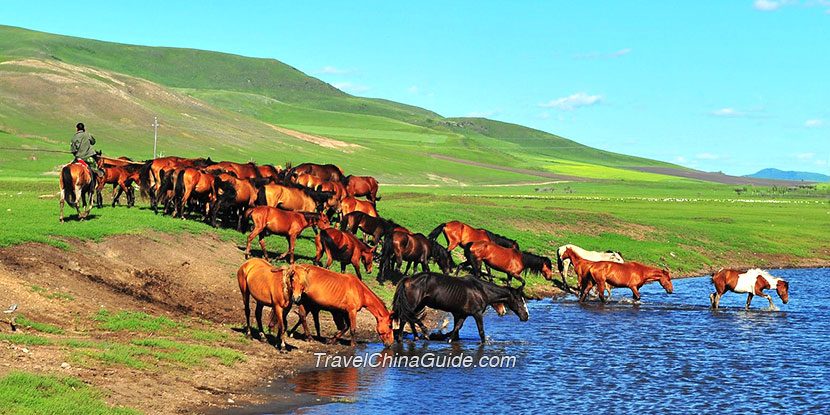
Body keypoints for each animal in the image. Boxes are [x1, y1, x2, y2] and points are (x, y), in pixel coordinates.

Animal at [394, 272, 528, 342]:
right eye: (519, 301)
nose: (526, 316)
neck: (480, 291)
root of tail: (407, 279)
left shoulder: (463, 314)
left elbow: (457, 328)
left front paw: (448, 339)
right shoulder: (477, 314)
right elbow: (481, 332)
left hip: (419, 304)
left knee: (410, 318)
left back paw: (418, 336)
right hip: (414, 304)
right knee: (405, 318)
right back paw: (414, 335)